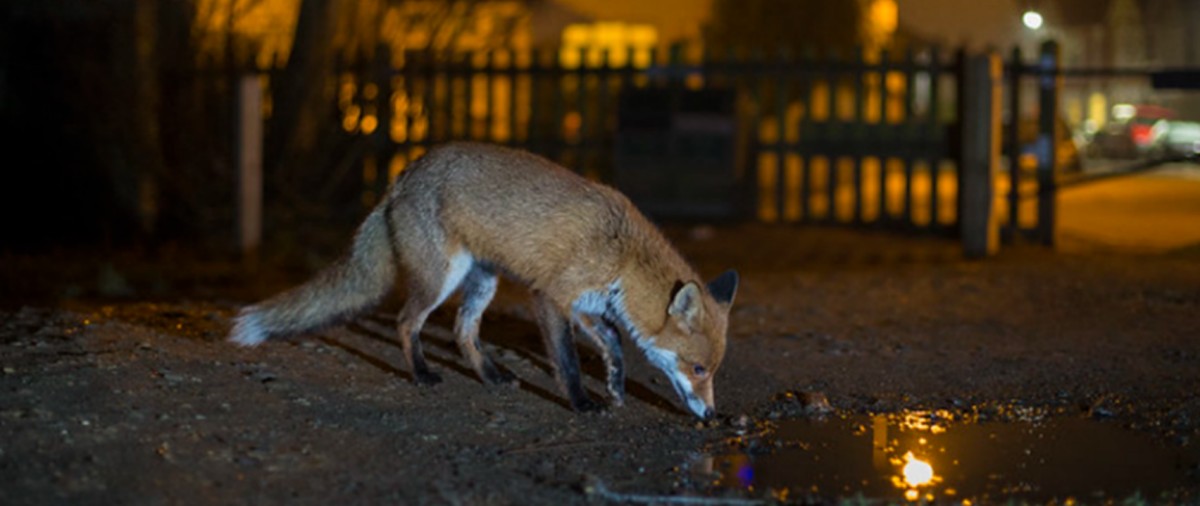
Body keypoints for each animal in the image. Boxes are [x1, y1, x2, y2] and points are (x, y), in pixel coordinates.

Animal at [228, 142, 738, 419]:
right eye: (698, 369)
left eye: (712, 371)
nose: (712, 415)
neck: (624, 256)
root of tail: (403, 175)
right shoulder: (550, 296)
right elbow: (569, 362)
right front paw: (581, 402)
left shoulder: (586, 304)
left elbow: (613, 341)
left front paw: (615, 387)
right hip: (441, 278)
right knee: (405, 321)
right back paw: (422, 374)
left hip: (483, 282)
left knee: (461, 330)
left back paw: (491, 376)